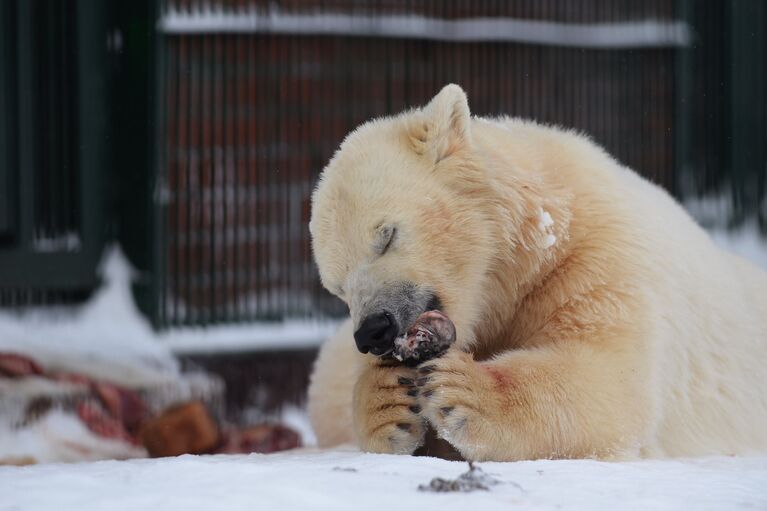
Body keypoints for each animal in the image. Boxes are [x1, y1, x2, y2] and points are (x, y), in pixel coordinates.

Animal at [306, 85, 767, 464]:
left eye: (386, 236)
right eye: (337, 287)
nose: (373, 331)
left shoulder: (591, 259)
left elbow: (611, 377)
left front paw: (463, 391)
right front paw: (389, 402)